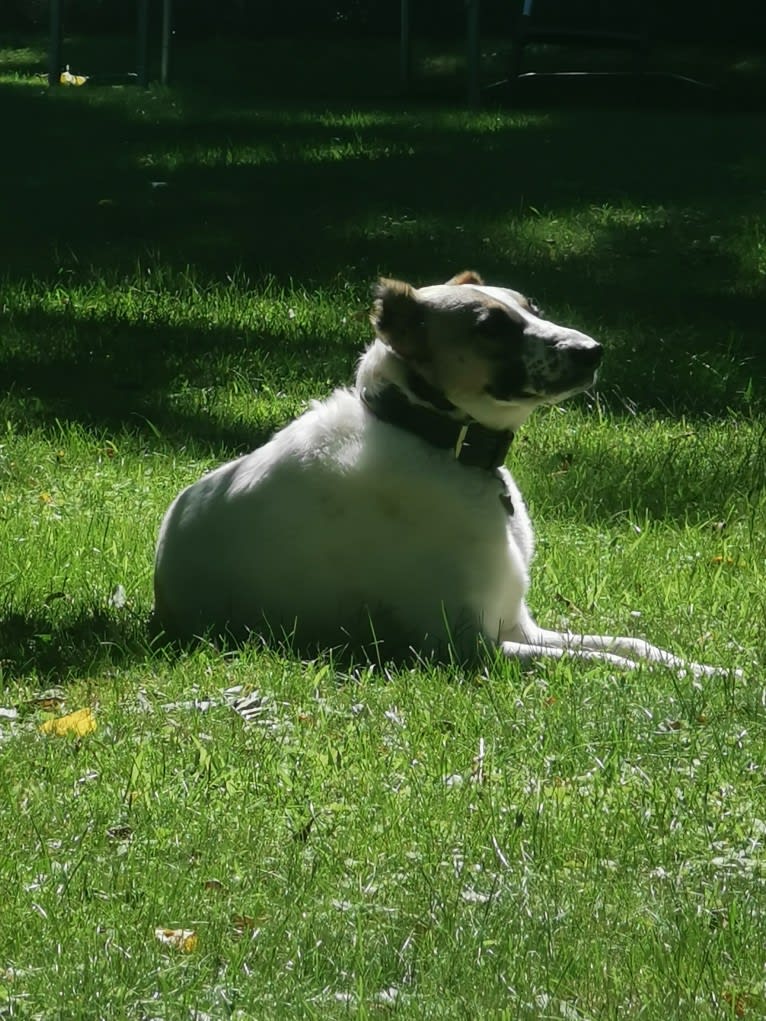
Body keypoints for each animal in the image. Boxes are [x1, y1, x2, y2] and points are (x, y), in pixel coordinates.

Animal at [153, 267, 727, 673]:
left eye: (533, 308)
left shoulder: (518, 625)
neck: (435, 441)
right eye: (491, 327)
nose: (593, 351)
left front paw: (709, 671)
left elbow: (634, 644)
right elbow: (605, 661)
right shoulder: (467, 645)